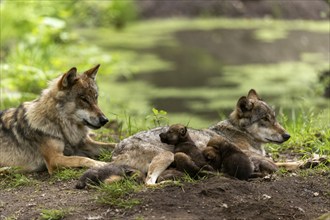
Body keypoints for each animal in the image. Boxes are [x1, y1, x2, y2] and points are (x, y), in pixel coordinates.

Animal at [111, 88, 294, 185]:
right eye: (265, 119)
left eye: (274, 118)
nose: (287, 135)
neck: (241, 132)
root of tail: (115, 152)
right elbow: (283, 163)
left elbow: (285, 162)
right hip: (167, 155)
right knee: (148, 182)